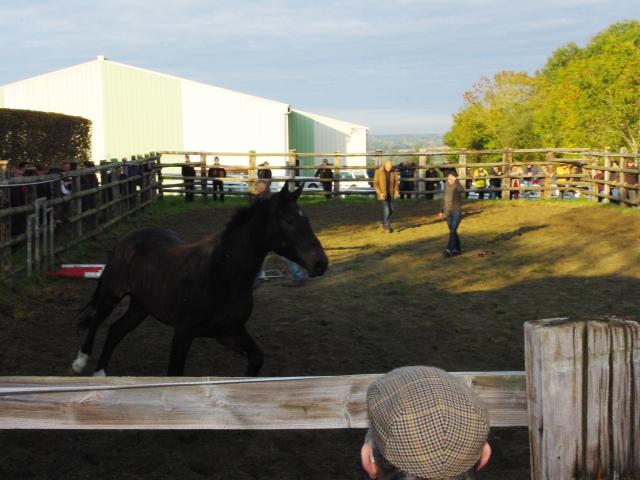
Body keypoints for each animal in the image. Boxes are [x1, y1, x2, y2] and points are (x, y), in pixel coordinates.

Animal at [72, 184, 328, 376]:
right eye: (288, 220)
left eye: (306, 219)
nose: (320, 263)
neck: (222, 275)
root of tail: (127, 239)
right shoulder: (184, 332)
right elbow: (174, 373)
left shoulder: (228, 332)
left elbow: (256, 359)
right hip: (112, 293)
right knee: (97, 319)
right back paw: (80, 363)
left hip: (141, 306)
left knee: (116, 330)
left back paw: (100, 374)